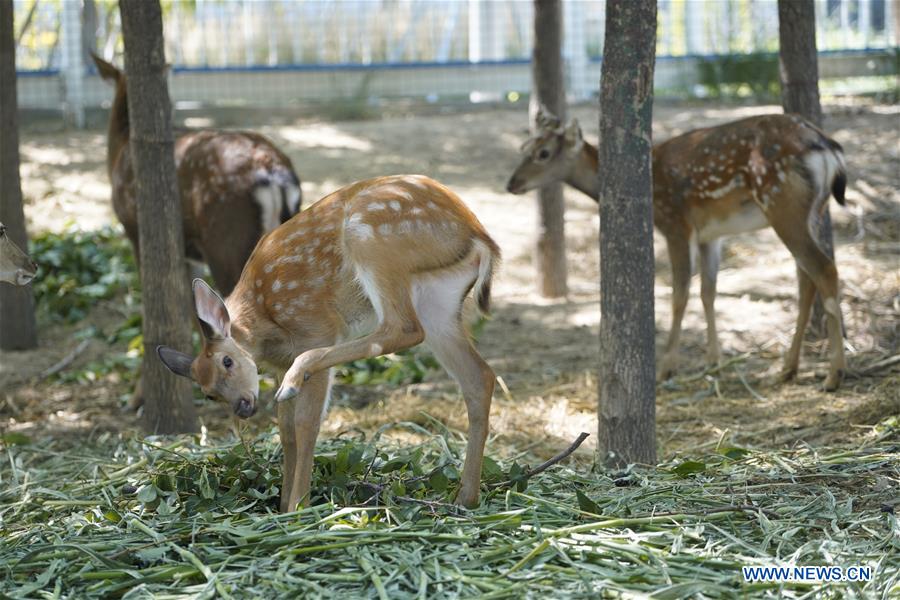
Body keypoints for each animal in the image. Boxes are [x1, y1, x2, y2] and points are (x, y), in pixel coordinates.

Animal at [158, 173, 502, 510]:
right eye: (208, 393)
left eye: (227, 361)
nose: (242, 407)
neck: (265, 324)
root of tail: (480, 235)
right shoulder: (279, 366)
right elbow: (285, 430)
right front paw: (283, 505)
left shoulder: (315, 326)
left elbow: (306, 422)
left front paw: (298, 507)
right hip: (438, 304)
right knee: (479, 376)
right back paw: (465, 498)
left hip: (373, 241)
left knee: (402, 328)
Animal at [510, 108, 848, 392]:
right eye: (523, 147)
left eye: (543, 153)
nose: (511, 183)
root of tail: (827, 147)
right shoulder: (710, 234)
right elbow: (708, 291)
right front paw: (714, 360)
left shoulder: (674, 222)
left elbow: (679, 294)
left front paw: (667, 367)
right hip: (813, 211)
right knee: (807, 279)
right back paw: (788, 369)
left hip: (781, 202)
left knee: (824, 269)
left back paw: (833, 375)